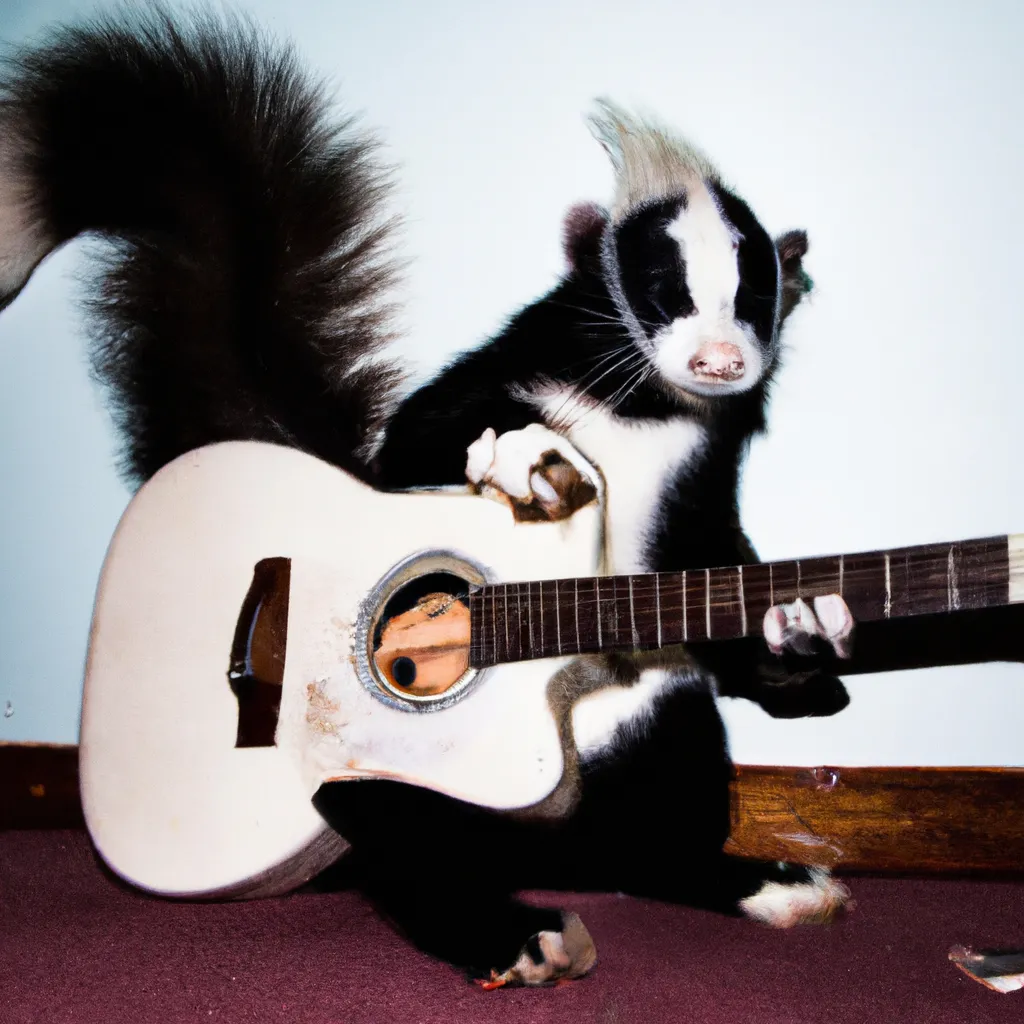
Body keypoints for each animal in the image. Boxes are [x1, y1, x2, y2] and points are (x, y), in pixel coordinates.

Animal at [0, 8, 856, 983]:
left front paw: (800, 631)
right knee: (402, 840)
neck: (642, 407)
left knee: (650, 834)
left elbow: (712, 569)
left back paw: (769, 887)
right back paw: (514, 935)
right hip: (378, 779)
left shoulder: (696, 488)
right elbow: (427, 432)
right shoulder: (503, 376)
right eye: (661, 290)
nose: (719, 360)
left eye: (756, 296)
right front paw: (524, 455)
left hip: (649, 719)